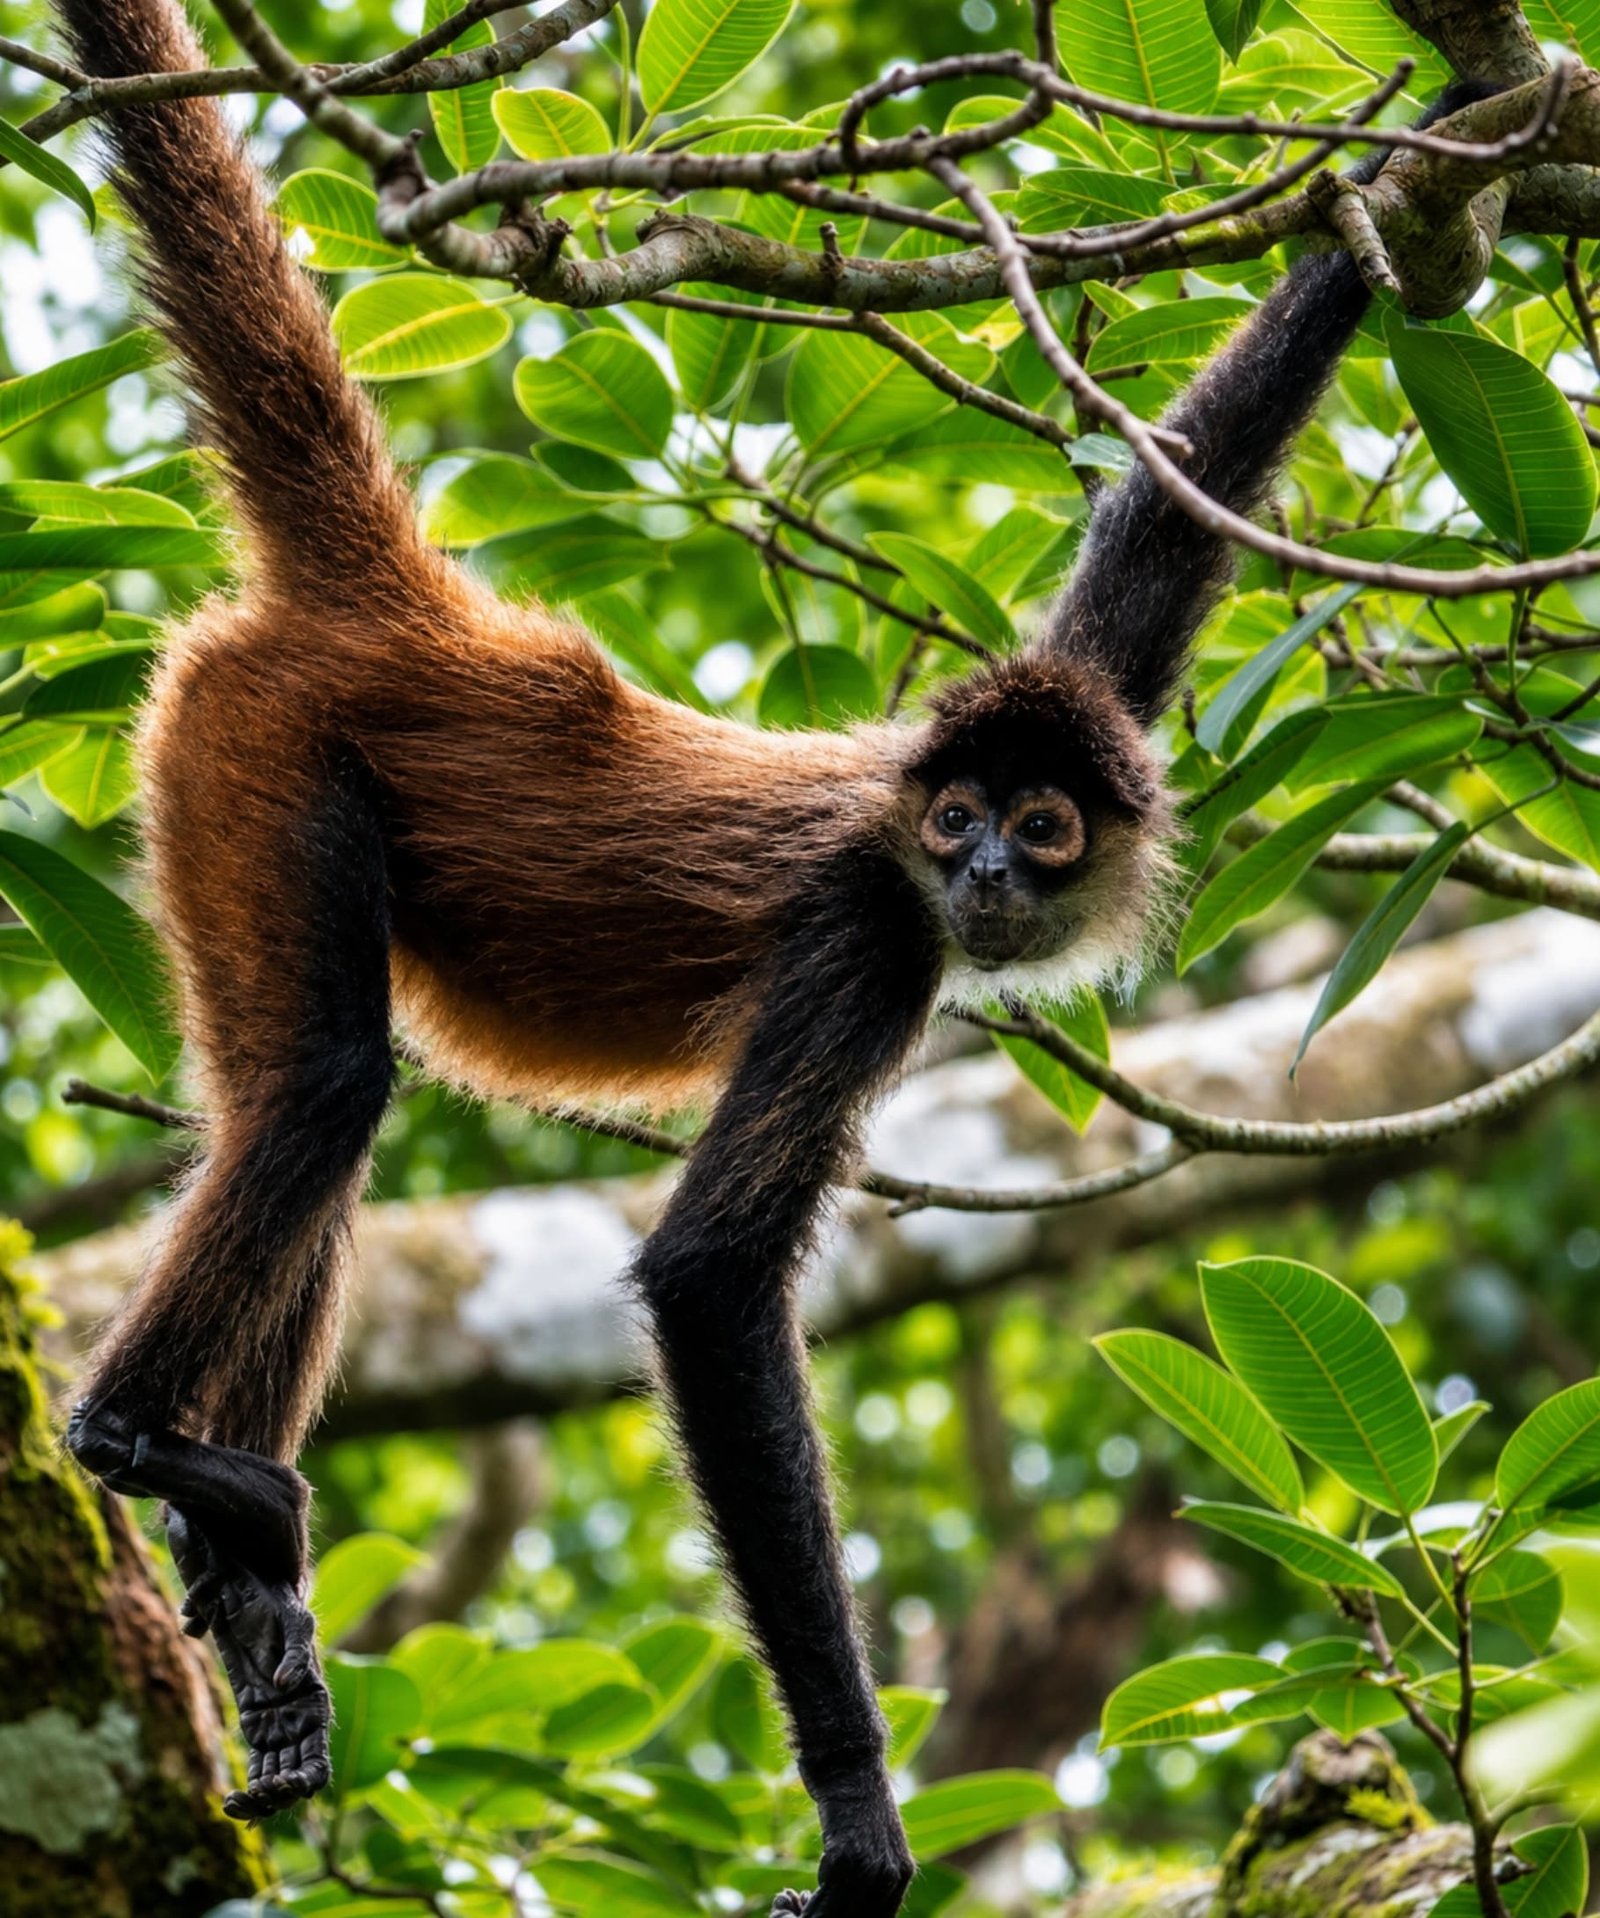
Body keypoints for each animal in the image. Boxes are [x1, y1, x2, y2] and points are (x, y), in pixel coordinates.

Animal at [41, 0, 1485, 1904]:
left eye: (1044, 824)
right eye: (959, 823)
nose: (987, 872)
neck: (910, 844)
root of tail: (415, 617)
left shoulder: (1080, 694)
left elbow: (1170, 518)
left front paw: (1436, 146)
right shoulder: (867, 937)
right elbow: (712, 1279)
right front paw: (861, 1816)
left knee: (283, 1102)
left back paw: (253, 1593)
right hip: (264, 759)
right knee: (326, 1089)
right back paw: (131, 1448)